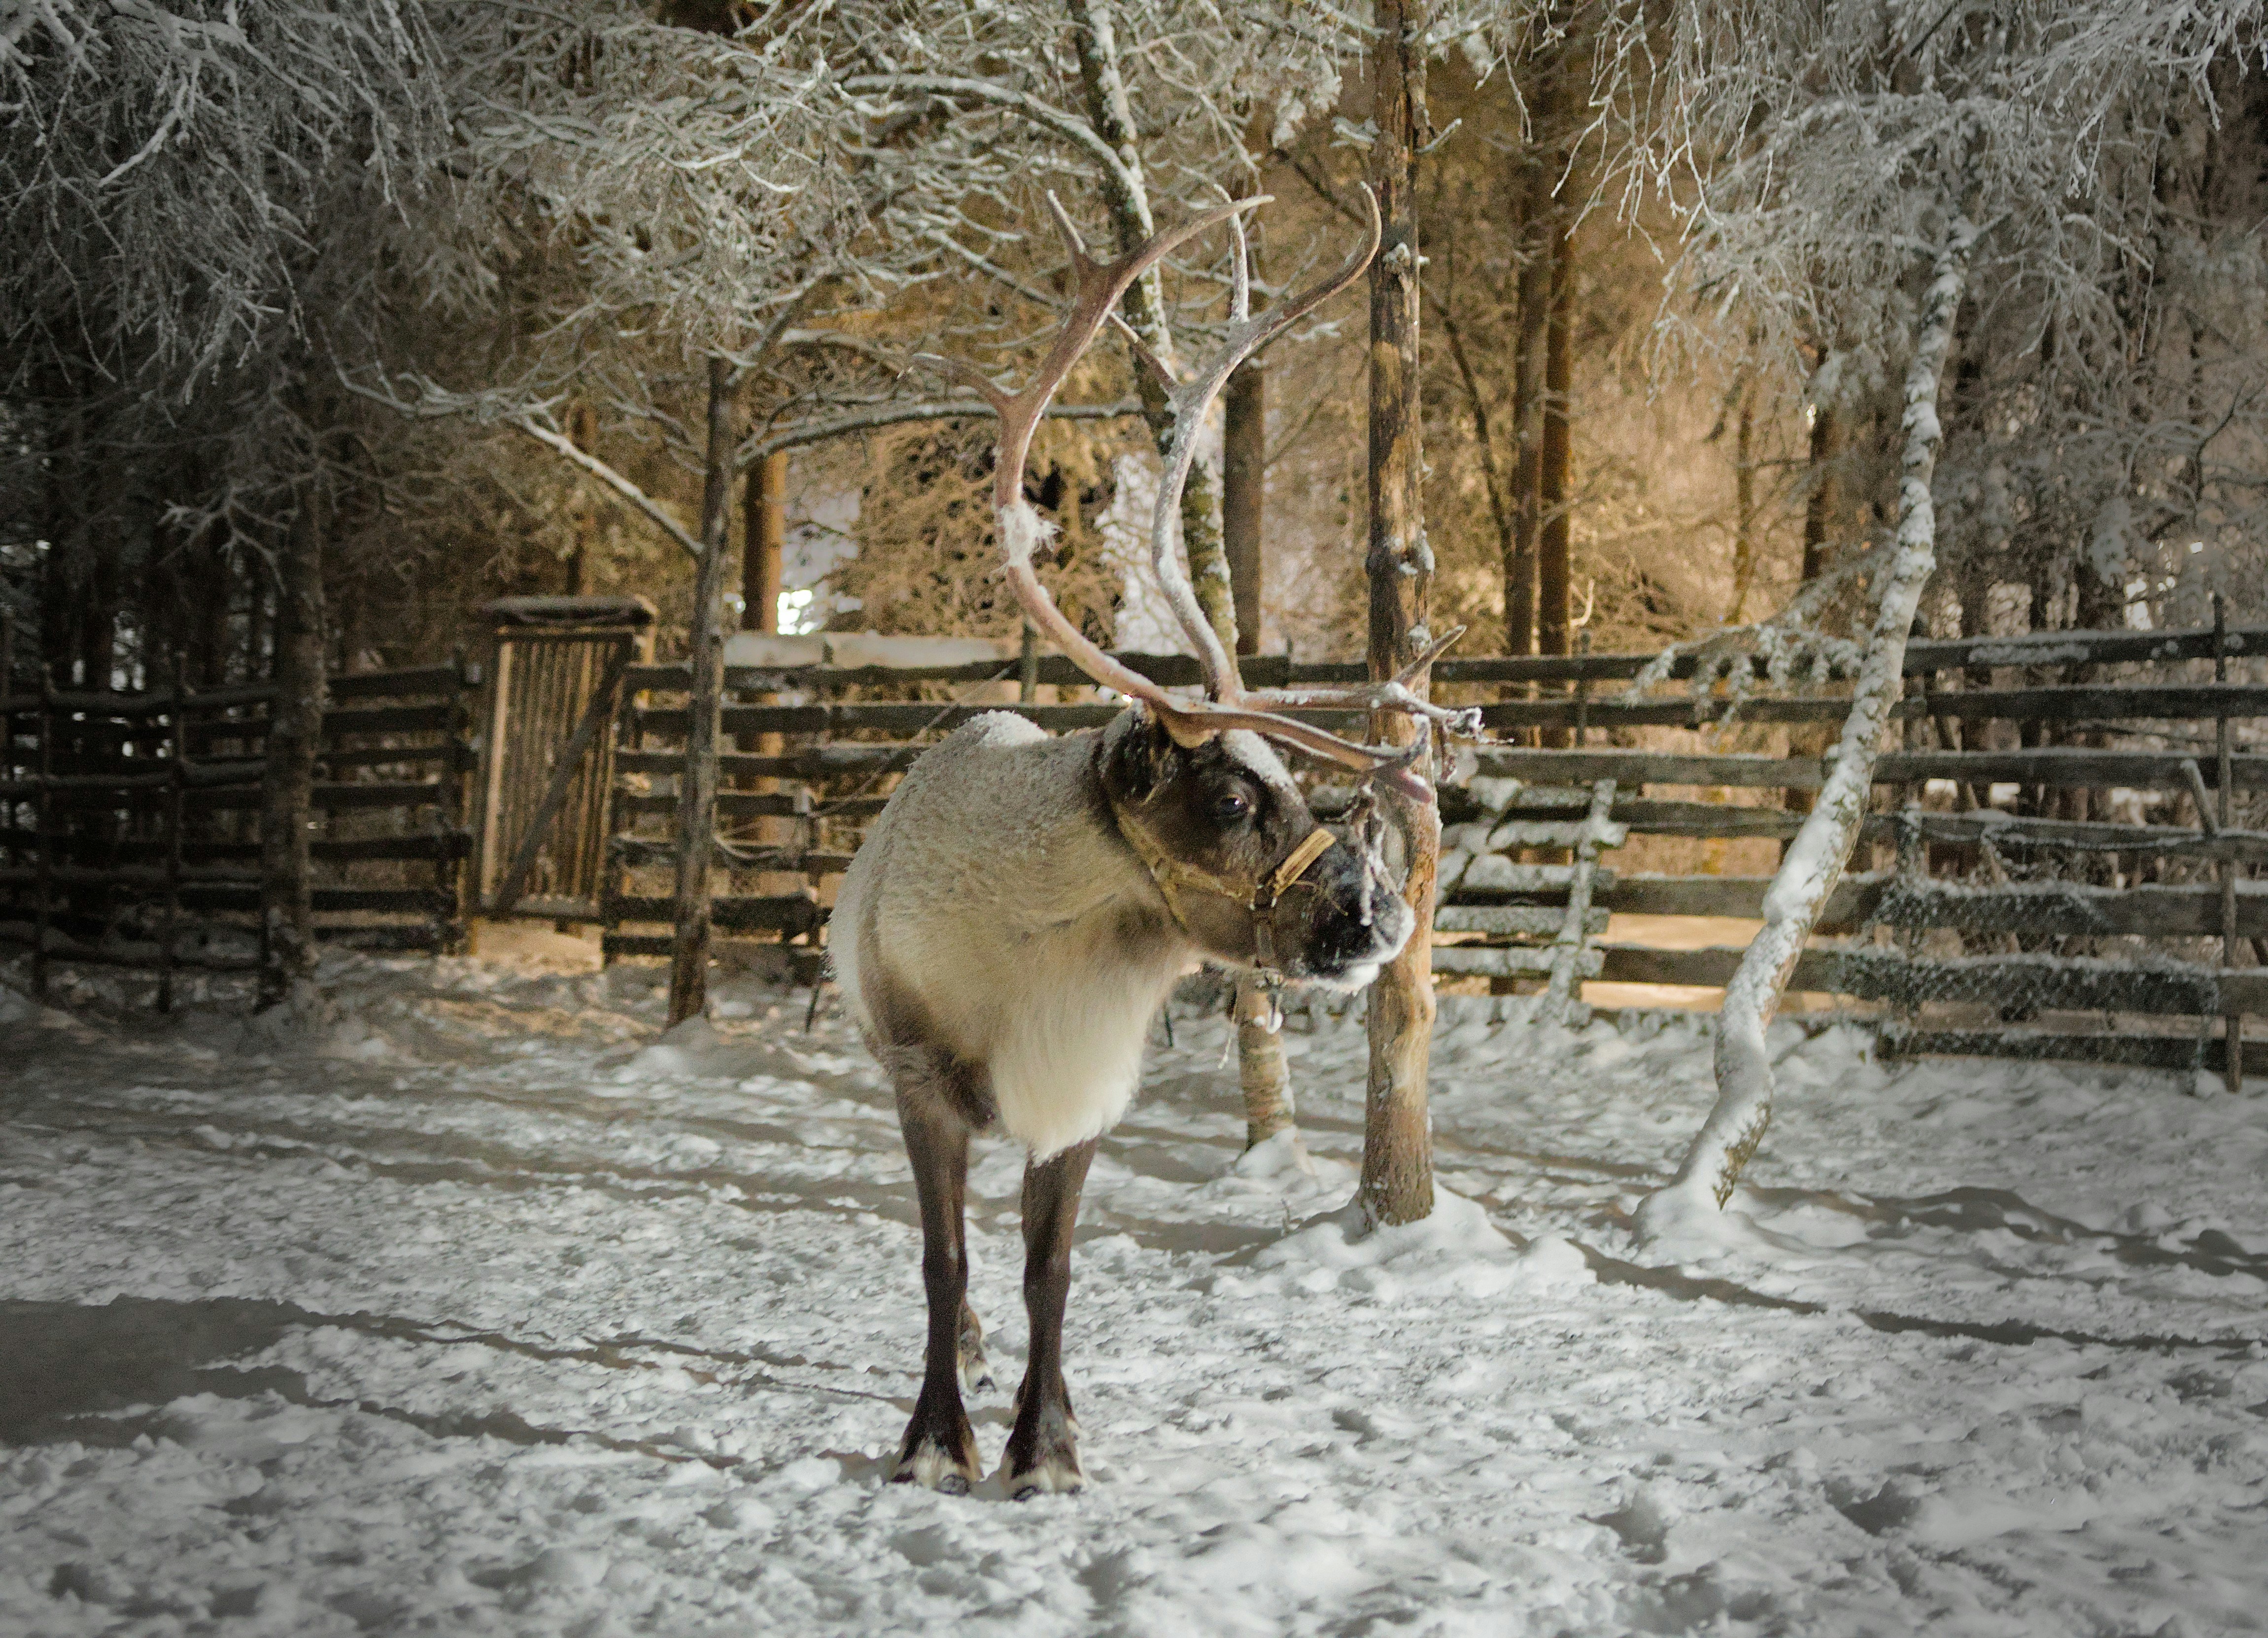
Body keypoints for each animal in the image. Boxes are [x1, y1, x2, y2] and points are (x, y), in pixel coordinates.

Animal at [831, 189, 1471, 1498]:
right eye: (1228, 800)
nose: (1380, 913)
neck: (1038, 949)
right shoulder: (920, 1075)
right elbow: (943, 1260)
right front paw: (935, 1438)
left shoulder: (1082, 1097)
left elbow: (1053, 1268)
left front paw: (1047, 1443)